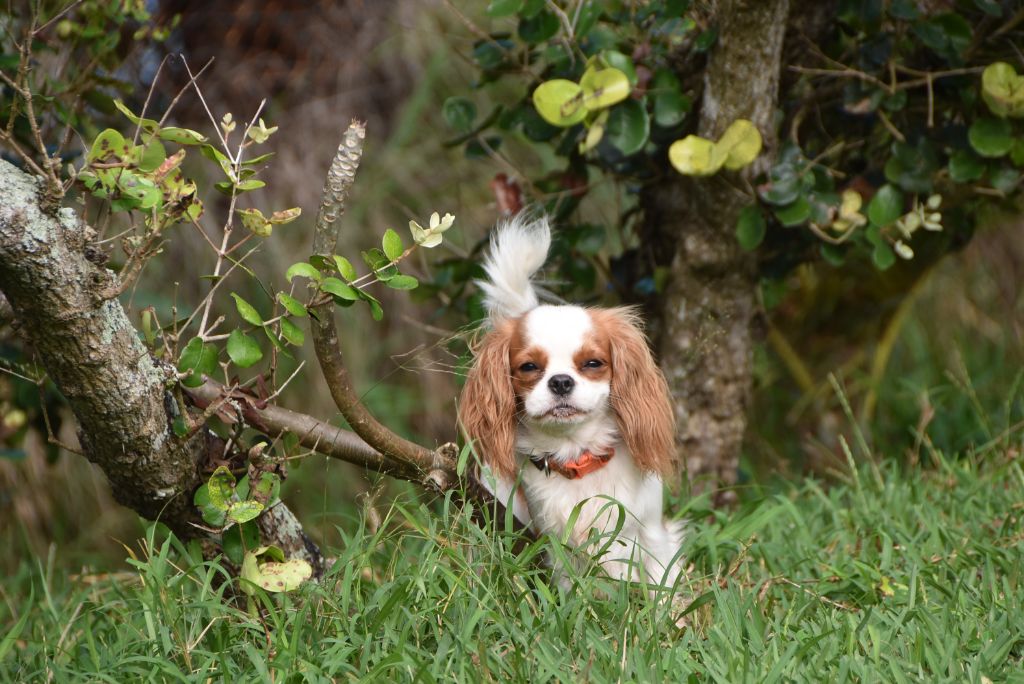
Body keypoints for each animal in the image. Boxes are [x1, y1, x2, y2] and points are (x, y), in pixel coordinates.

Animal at [460, 215, 684, 589]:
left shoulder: (653, 537)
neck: (577, 454)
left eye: (593, 363)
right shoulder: (558, 551)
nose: (561, 381)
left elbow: (661, 588)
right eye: (529, 367)